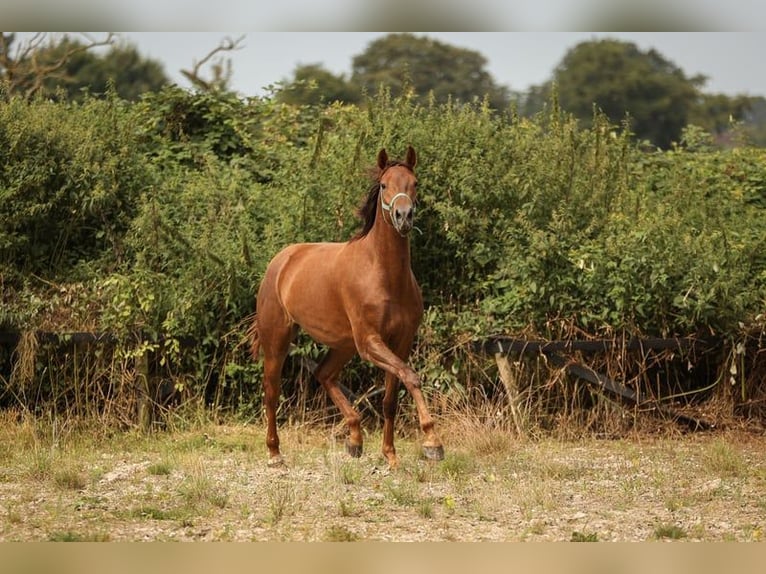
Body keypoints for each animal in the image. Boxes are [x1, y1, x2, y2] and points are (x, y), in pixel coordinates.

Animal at [249, 146, 448, 470]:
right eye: (384, 185)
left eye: (415, 183)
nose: (403, 216)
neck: (385, 276)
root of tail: (282, 260)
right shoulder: (370, 342)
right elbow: (411, 376)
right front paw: (433, 442)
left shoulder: (400, 342)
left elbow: (391, 399)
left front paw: (391, 455)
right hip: (278, 339)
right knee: (272, 391)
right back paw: (275, 454)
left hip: (344, 345)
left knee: (324, 375)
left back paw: (355, 439)